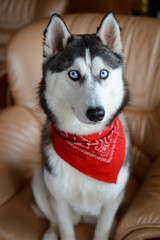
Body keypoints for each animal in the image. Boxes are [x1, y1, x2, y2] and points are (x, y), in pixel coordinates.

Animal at [31, 12, 131, 240]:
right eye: (74, 74)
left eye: (103, 73)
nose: (96, 114)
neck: (87, 140)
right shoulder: (60, 202)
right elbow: (65, 229)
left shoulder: (111, 202)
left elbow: (102, 230)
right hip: (39, 180)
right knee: (53, 219)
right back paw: (51, 233)